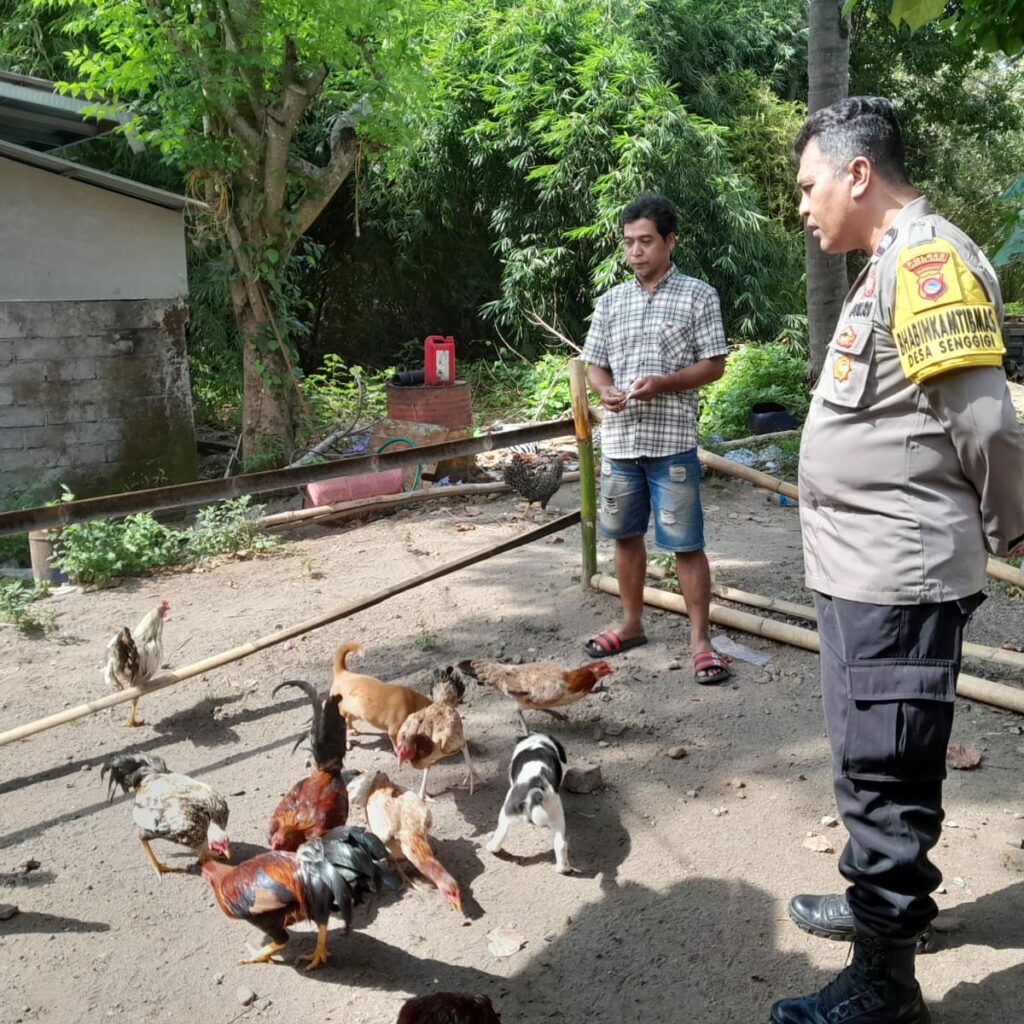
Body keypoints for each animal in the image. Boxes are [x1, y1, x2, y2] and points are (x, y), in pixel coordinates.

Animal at [485, 737, 573, 872]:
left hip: (507, 810)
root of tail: (537, 785)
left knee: (501, 832)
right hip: (556, 812)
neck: (538, 741)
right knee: (561, 844)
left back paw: (492, 847)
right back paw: (563, 868)